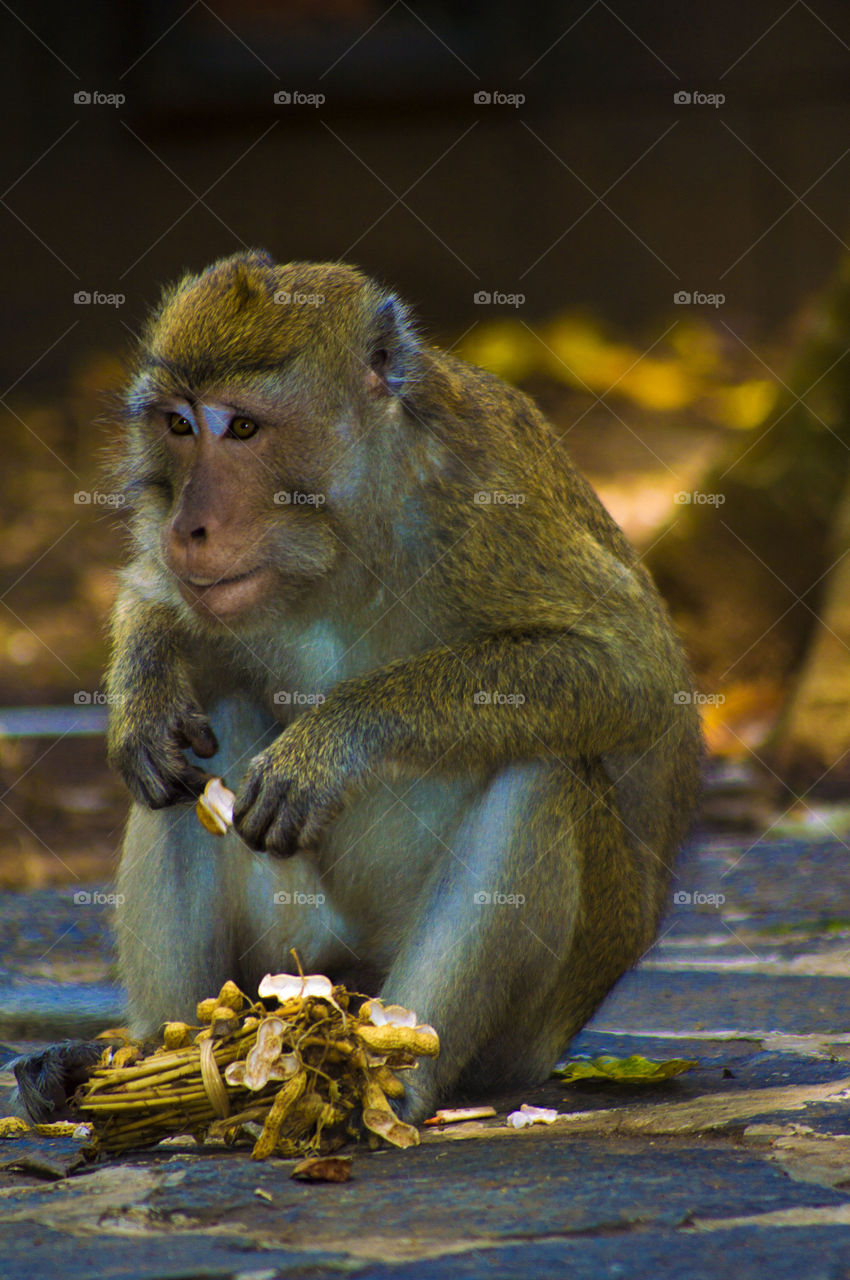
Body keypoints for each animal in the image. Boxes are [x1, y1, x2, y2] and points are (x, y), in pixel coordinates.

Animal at [95, 249, 702, 1126]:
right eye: (178, 426)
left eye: (242, 428)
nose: (188, 527)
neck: (344, 533)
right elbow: (156, 598)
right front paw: (143, 700)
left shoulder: (484, 502)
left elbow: (631, 670)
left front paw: (331, 741)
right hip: (288, 957)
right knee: (194, 762)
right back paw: (170, 1062)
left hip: (525, 1024)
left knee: (542, 769)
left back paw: (390, 1075)